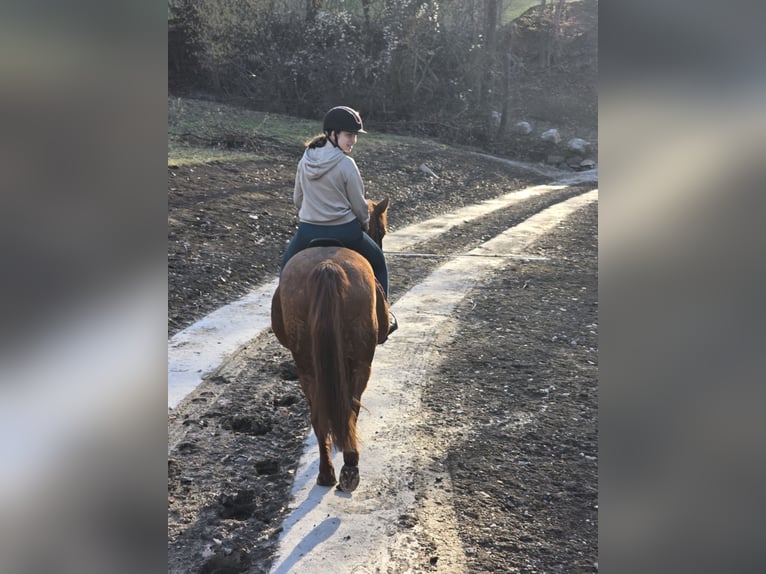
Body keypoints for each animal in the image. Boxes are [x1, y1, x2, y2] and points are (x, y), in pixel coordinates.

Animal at [271, 197, 391, 492]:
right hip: (362, 361)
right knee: (351, 406)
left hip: (306, 365)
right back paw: (350, 466)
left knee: (318, 415)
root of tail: (327, 266)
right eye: (381, 231)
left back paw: (326, 473)